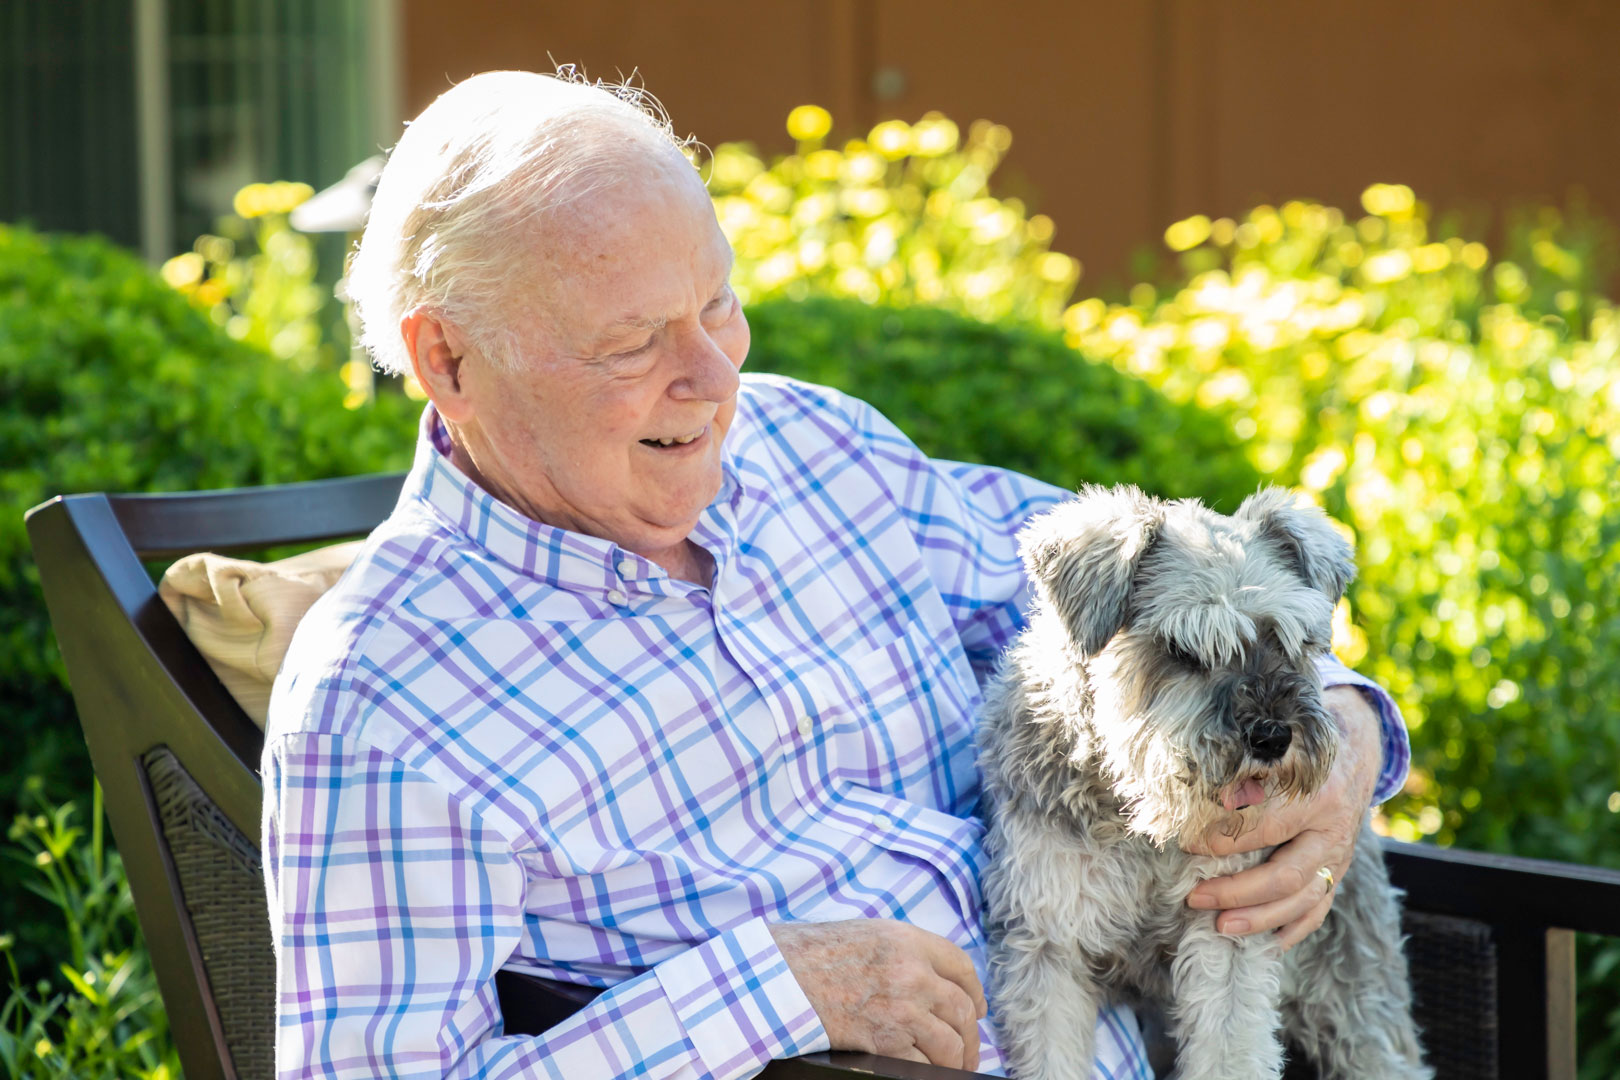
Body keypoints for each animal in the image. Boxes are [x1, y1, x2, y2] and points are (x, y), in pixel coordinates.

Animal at [972, 488, 1432, 1080]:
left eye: (1294, 642)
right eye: (1183, 651)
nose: (1272, 736)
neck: (1139, 817)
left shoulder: (1229, 931)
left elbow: (1228, 1050)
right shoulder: (1048, 940)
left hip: (1360, 1003)